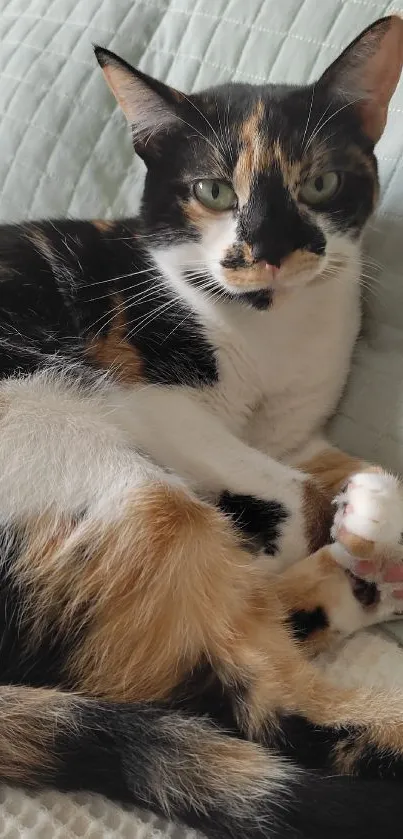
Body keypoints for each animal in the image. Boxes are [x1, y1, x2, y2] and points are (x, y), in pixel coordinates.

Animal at [0, 13, 403, 839]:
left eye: (318, 182)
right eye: (212, 191)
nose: (265, 252)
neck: (272, 328)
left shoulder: (292, 431)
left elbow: (337, 469)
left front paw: (370, 516)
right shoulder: (142, 392)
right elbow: (288, 495)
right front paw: (294, 534)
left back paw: (359, 583)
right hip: (77, 447)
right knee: (259, 704)